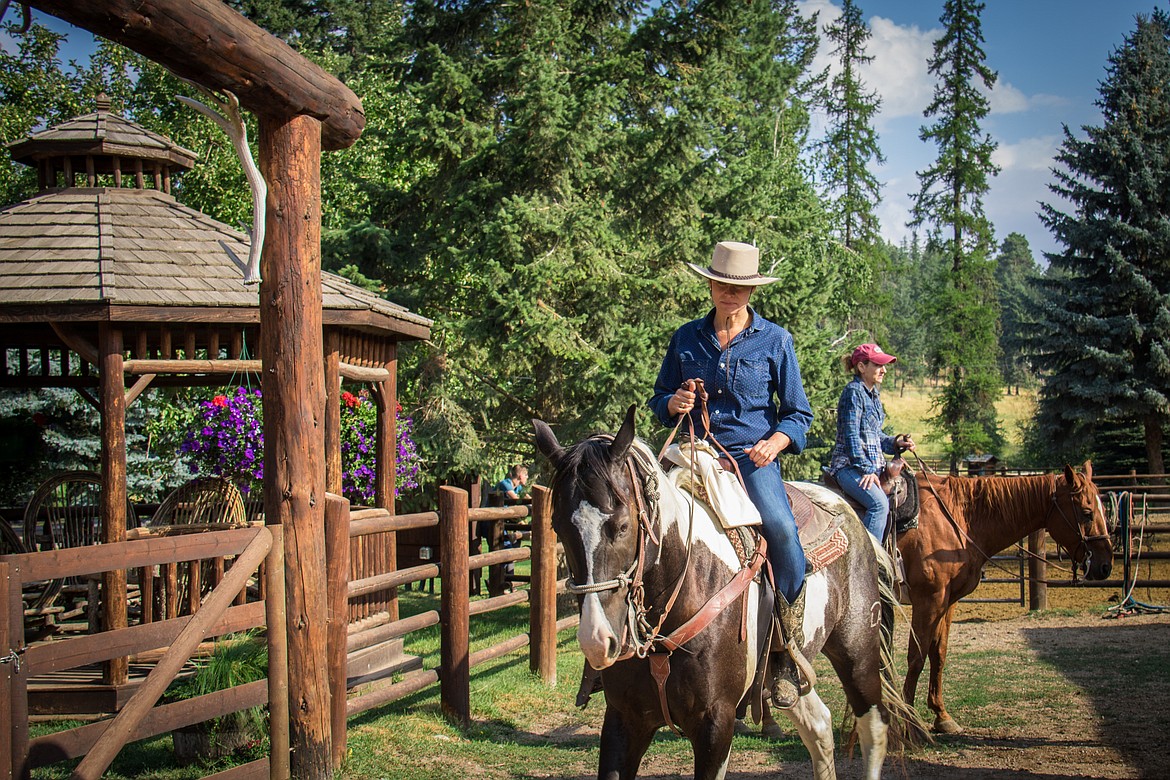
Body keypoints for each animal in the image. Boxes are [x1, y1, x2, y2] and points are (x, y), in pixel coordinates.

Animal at [535, 409, 926, 780]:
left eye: (622, 526)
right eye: (558, 527)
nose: (597, 640)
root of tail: (847, 511)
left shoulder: (716, 725)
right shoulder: (624, 720)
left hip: (858, 653)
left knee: (874, 728)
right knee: (819, 726)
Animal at [898, 463, 1109, 739]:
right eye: (1086, 513)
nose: (1105, 565)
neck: (954, 518)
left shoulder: (947, 602)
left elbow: (938, 654)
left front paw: (942, 716)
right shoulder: (928, 600)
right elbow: (916, 658)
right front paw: (910, 724)